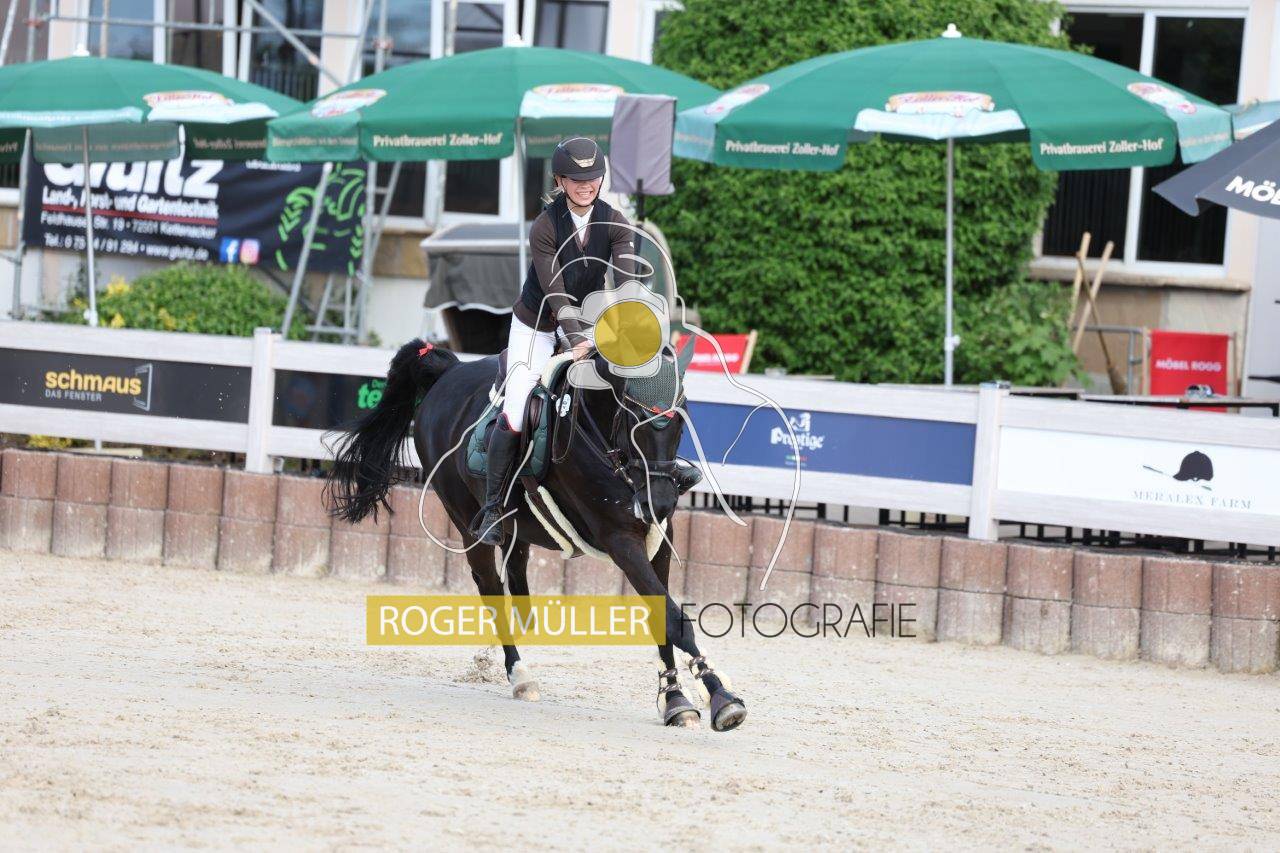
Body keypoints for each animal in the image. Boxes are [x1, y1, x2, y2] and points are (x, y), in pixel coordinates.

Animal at [323, 338, 748, 731]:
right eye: (632, 416)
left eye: (681, 417)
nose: (658, 501)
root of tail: (450, 373)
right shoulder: (621, 541)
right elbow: (674, 618)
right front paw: (720, 696)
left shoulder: (658, 538)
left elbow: (663, 615)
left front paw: (675, 698)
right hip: (467, 524)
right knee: (492, 590)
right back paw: (519, 675)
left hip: (520, 530)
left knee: (517, 580)